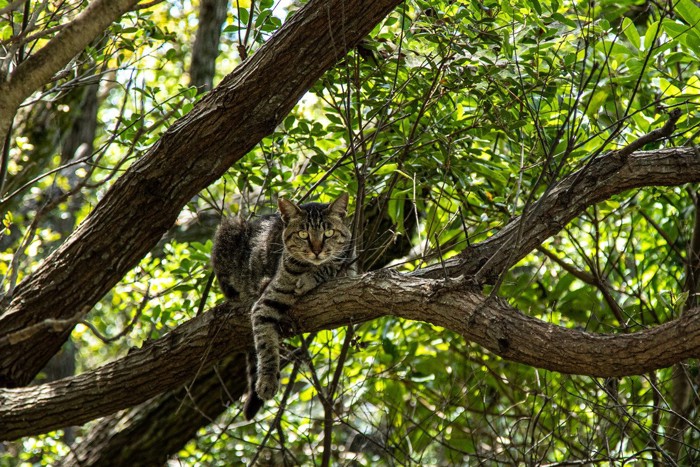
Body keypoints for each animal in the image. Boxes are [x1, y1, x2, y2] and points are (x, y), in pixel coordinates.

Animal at [208, 194, 350, 420]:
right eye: (303, 234)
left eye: (329, 233)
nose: (317, 250)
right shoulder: (264, 306)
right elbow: (265, 345)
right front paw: (267, 380)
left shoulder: (350, 270)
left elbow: (331, 266)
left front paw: (308, 279)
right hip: (228, 229)